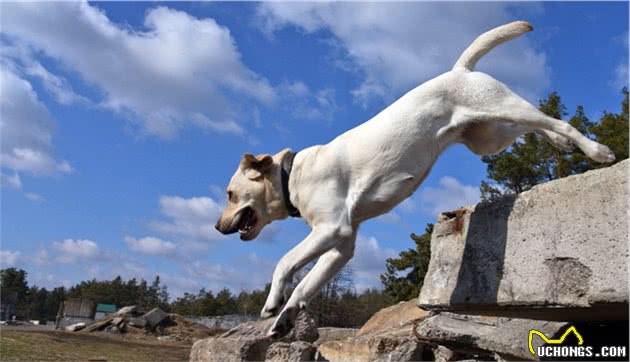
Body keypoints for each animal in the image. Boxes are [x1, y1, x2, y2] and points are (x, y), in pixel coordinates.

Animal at [215, 20, 616, 336]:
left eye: (230, 194)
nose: (218, 228)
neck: (292, 175)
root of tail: (460, 69)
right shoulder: (342, 246)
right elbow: (306, 287)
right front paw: (284, 318)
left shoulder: (331, 229)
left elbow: (285, 261)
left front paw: (273, 302)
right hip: (489, 137)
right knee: (538, 126)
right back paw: (561, 145)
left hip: (501, 107)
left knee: (553, 119)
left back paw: (597, 151)